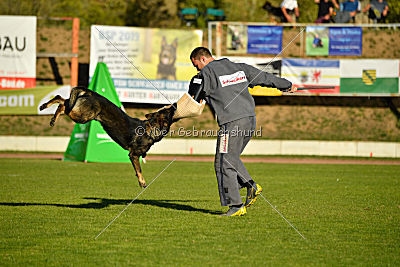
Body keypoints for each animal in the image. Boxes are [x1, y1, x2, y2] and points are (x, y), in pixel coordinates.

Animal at [40, 87, 175, 188]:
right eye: (168, 111)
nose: (174, 105)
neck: (151, 128)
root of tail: (91, 93)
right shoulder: (134, 155)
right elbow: (139, 170)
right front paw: (142, 182)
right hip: (81, 116)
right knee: (62, 105)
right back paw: (51, 114)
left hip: (79, 112)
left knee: (61, 99)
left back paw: (45, 108)